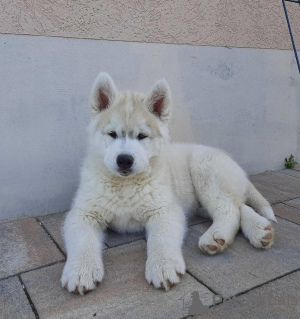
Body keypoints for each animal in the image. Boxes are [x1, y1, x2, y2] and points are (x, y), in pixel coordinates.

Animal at [61, 72, 276, 296]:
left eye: (142, 136)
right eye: (112, 134)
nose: (125, 160)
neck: (126, 185)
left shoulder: (164, 210)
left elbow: (161, 238)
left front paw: (163, 266)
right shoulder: (84, 213)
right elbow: (82, 240)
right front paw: (81, 271)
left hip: (206, 171)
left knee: (230, 210)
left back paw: (217, 237)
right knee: (239, 206)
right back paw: (260, 230)